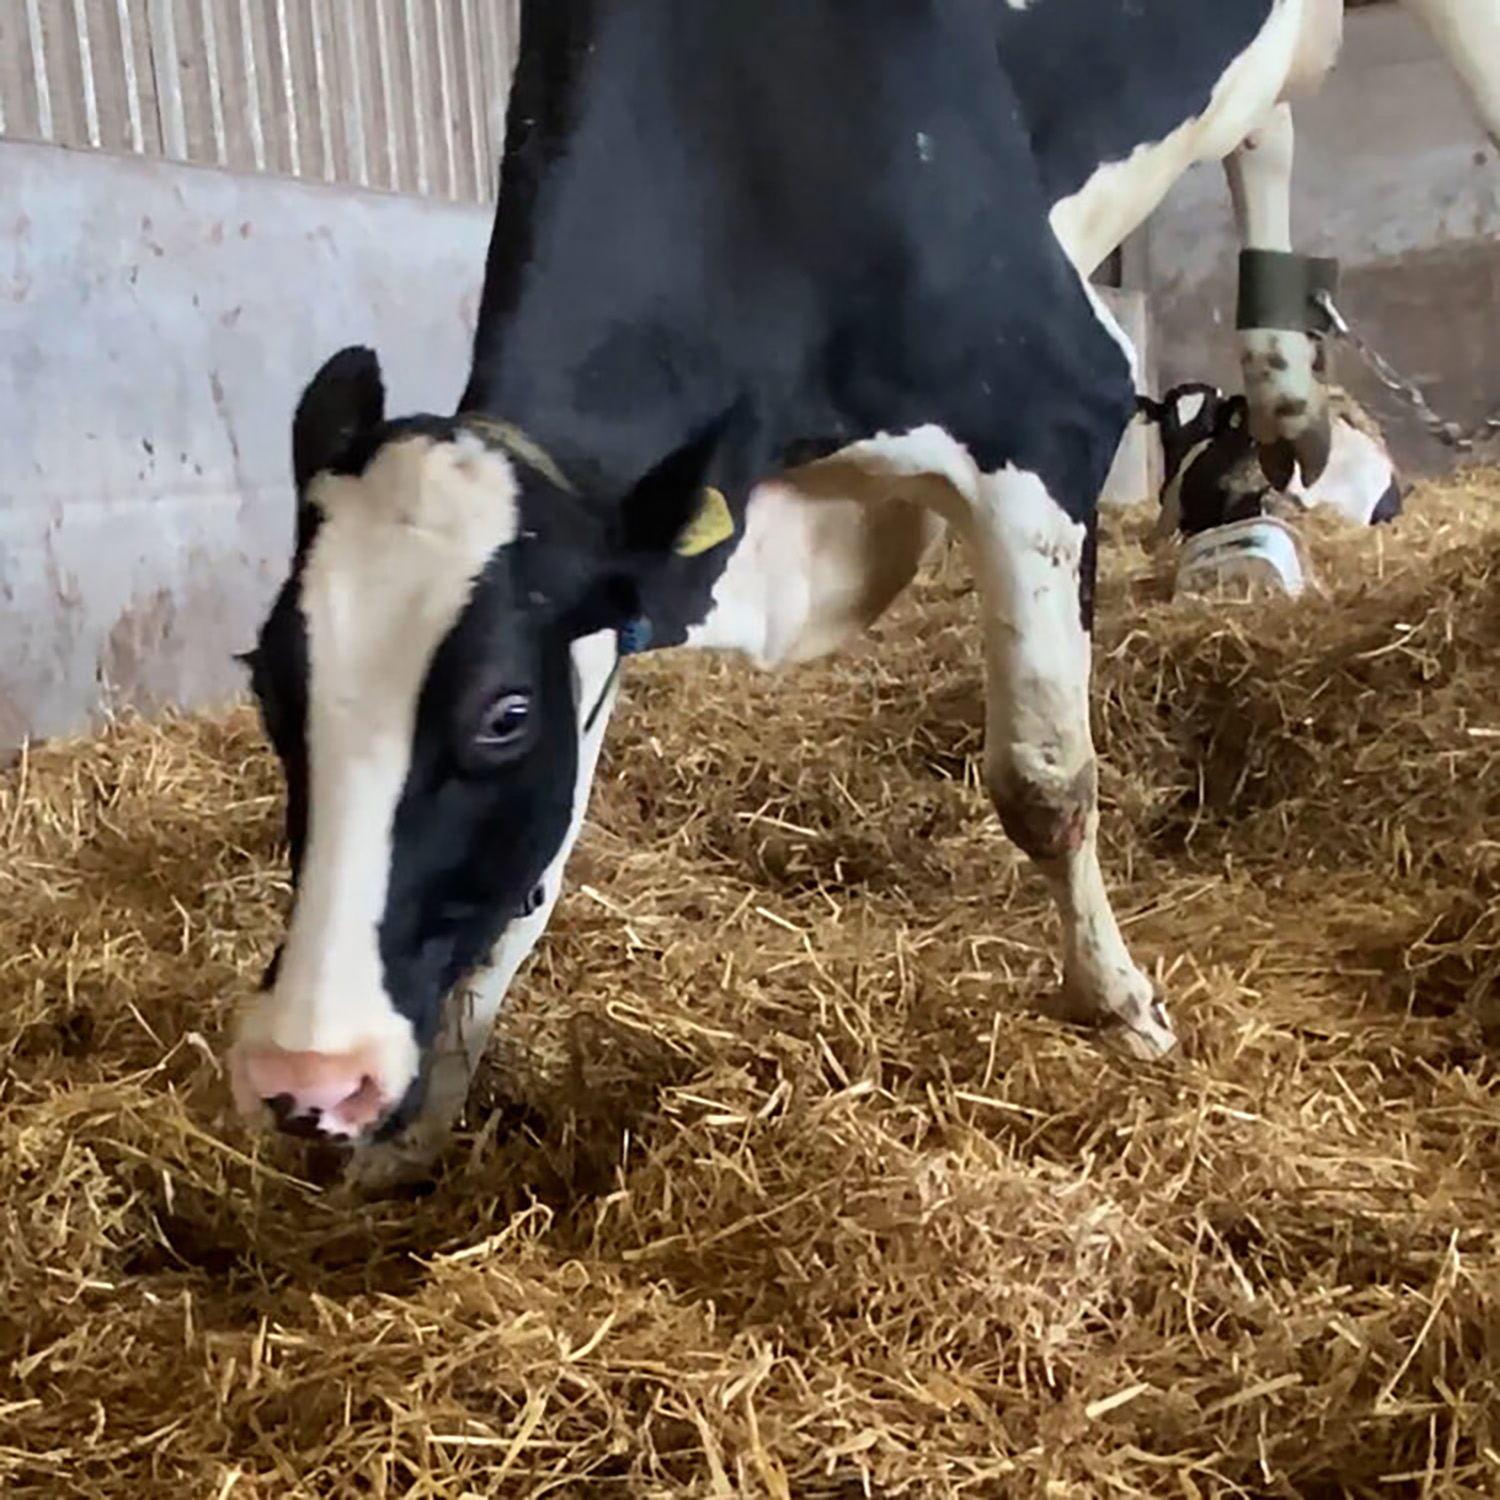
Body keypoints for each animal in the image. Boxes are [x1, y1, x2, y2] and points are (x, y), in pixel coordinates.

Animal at [225, 0, 1500, 1182]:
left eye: (502, 714)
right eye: (267, 687)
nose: (306, 1073)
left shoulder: (1046, 407)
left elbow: (1045, 783)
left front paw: (1120, 1005)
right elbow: (532, 880)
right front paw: (421, 1121)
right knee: (1266, 127)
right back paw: (1286, 394)